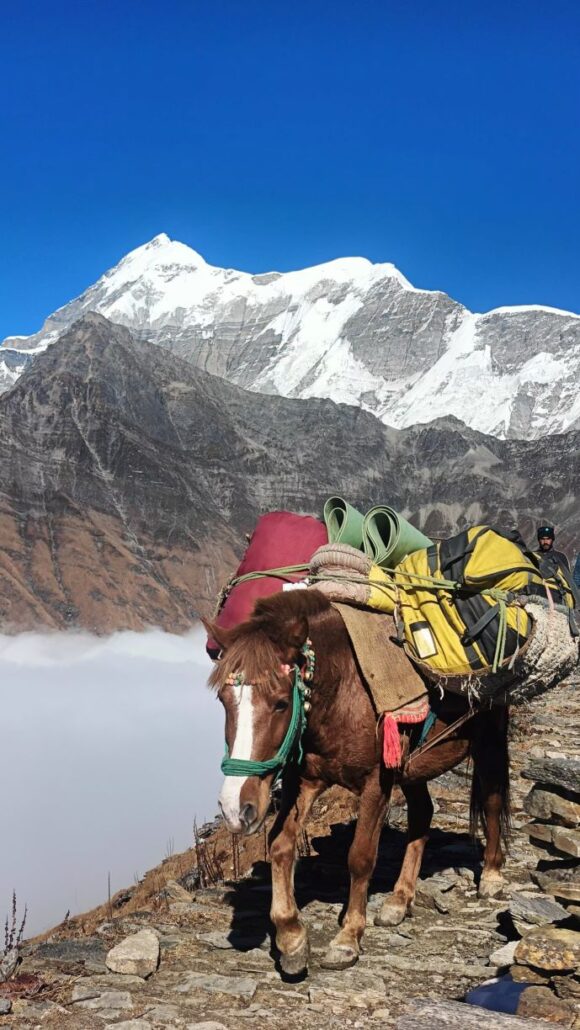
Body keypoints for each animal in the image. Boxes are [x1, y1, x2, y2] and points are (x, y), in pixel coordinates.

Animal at [206, 589, 510, 972]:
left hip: (489, 740)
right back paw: (399, 900)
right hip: (410, 767)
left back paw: (492, 875)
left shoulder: (375, 784)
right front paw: (291, 937)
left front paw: (347, 938)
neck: (341, 691)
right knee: (422, 813)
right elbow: (280, 845)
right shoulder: (303, 781)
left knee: (492, 800)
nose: (235, 809)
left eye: (280, 703)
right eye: (223, 700)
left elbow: (360, 857)